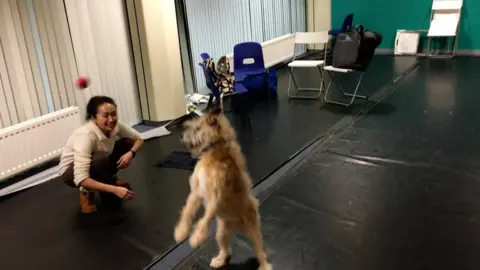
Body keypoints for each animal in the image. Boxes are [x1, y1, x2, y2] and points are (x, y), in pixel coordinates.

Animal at [173, 108, 272, 270]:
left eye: (198, 128)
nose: (181, 136)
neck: (214, 149)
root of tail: (237, 226)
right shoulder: (196, 192)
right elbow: (187, 212)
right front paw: (181, 232)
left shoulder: (216, 198)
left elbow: (204, 220)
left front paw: (196, 238)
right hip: (221, 233)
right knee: (226, 249)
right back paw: (219, 260)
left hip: (254, 232)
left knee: (261, 252)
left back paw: (264, 266)